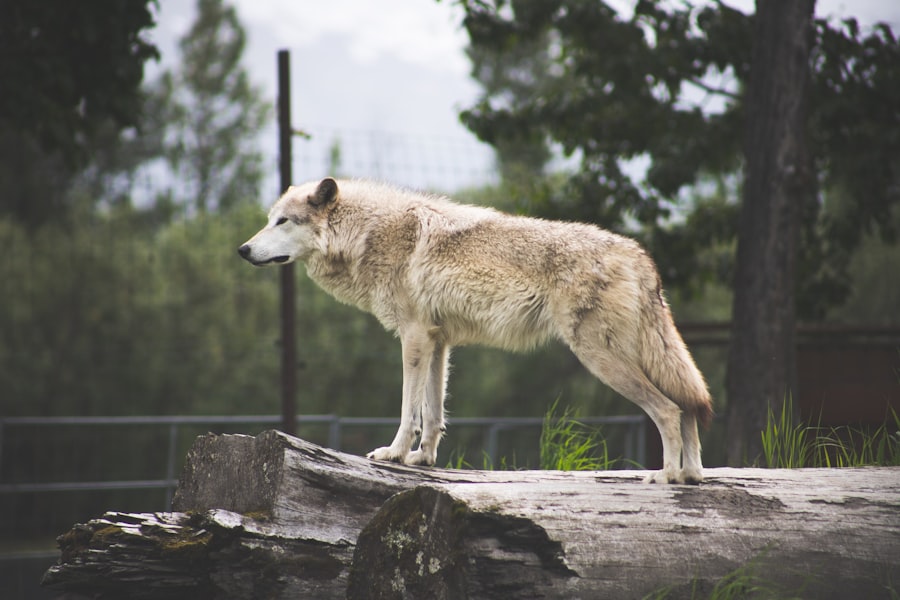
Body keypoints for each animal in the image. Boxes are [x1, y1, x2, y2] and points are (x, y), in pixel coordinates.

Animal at [238, 178, 713, 484]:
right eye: (269, 219)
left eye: (283, 222)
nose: (242, 250)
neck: (368, 233)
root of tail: (640, 256)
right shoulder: (438, 341)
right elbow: (433, 414)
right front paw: (423, 459)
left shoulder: (413, 337)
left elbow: (408, 410)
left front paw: (394, 453)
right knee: (688, 405)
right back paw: (691, 476)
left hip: (601, 358)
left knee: (669, 409)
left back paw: (666, 476)